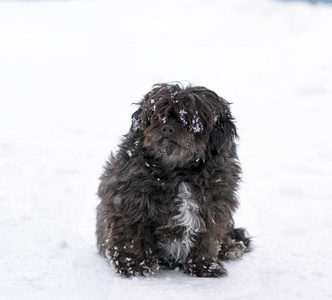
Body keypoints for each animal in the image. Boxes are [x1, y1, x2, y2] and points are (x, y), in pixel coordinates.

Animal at [95, 83, 249, 278]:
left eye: (191, 119)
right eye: (158, 114)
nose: (167, 127)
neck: (180, 171)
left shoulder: (214, 208)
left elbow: (207, 239)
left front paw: (204, 266)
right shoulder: (128, 203)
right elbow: (131, 236)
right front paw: (135, 265)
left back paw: (231, 247)